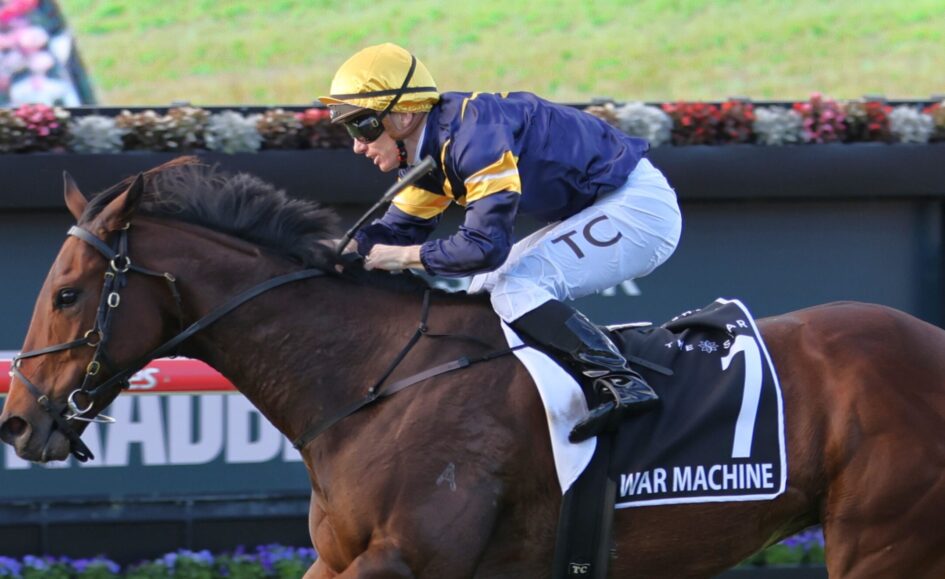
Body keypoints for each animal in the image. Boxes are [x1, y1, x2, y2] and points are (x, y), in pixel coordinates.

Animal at [2, 157, 945, 578]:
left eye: (69, 292)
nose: (18, 417)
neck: (371, 379)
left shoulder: (408, 557)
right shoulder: (340, 557)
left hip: (880, 541)